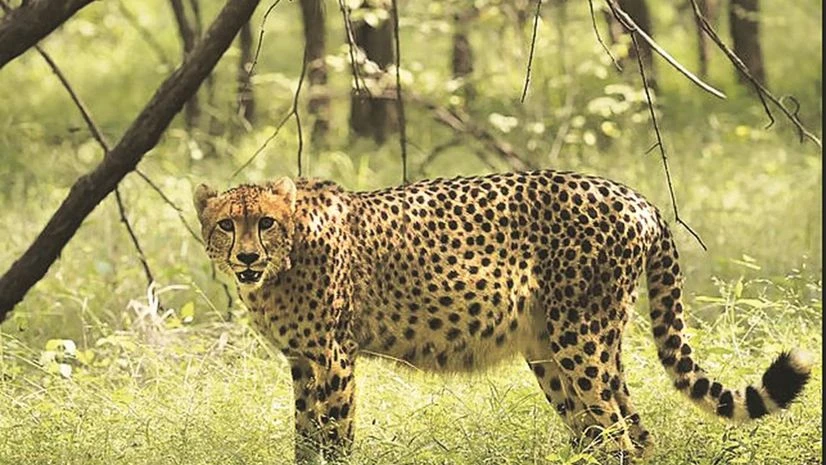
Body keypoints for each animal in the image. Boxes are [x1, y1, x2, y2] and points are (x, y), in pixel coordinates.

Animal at [193, 169, 811, 463]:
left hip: (580, 341)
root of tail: (635, 197)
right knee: (627, 433)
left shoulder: (334, 358)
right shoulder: (303, 362)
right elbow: (305, 438)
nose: (246, 257)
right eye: (227, 224)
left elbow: (334, 437)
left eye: (264, 223)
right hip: (558, 352)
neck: (284, 262)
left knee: (616, 436)